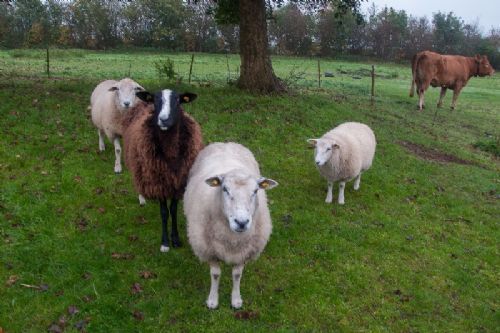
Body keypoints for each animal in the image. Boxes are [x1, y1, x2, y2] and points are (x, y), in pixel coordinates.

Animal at [184, 143, 278, 308]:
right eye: (225, 189)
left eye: (255, 190)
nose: (241, 222)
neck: (232, 241)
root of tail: (225, 143)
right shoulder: (210, 252)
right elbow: (215, 275)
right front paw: (213, 300)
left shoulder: (244, 253)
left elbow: (237, 275)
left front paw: (236, 299)